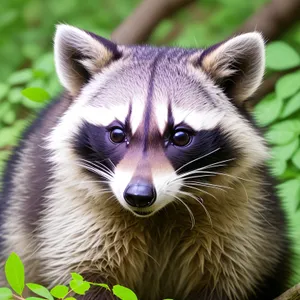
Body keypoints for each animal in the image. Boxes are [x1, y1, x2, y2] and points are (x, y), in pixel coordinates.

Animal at [0, 24, 292, 298]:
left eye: (180, 136)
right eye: (117, 134)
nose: (138, 195)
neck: (159, 214)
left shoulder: (242, 218)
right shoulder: (71, 213)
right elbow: (82, 278)